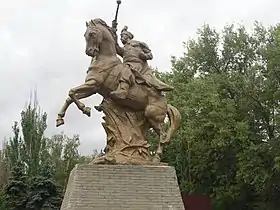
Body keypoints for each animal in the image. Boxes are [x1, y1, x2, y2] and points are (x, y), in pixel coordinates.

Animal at [56, 18, 182, 158]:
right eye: (84, 35)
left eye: (92, 34)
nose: (89, 52)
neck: (105, 58)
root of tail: (166, 103)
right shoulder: (92, 88)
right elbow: (70, 97)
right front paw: (60, 119)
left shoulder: (93, 83)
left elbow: (71, 91)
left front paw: (85, 109)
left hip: (152, 114)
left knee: (163, 136)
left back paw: (156, 157)